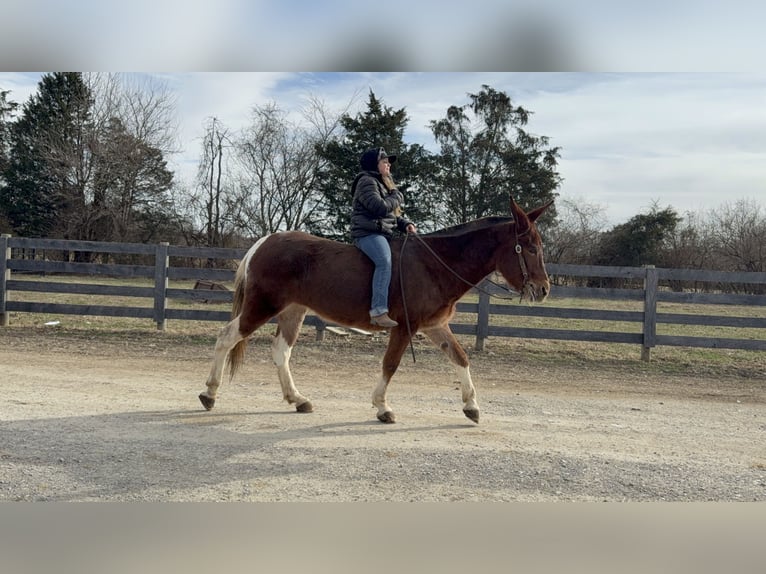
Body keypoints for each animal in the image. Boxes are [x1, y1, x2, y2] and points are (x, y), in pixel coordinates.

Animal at [198, 197, 553, 424]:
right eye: (529, 247)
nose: (544, 289)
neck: (434, 263)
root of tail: (264, 242)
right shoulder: (405, 327)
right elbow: (390, 364)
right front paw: (382, 408)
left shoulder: (434, 326)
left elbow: (460, 358)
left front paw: (471, 405)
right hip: (262, 306)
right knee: (225, 337)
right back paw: (209, 394)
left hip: (292, 311)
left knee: (280, 352)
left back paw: (298, 400)